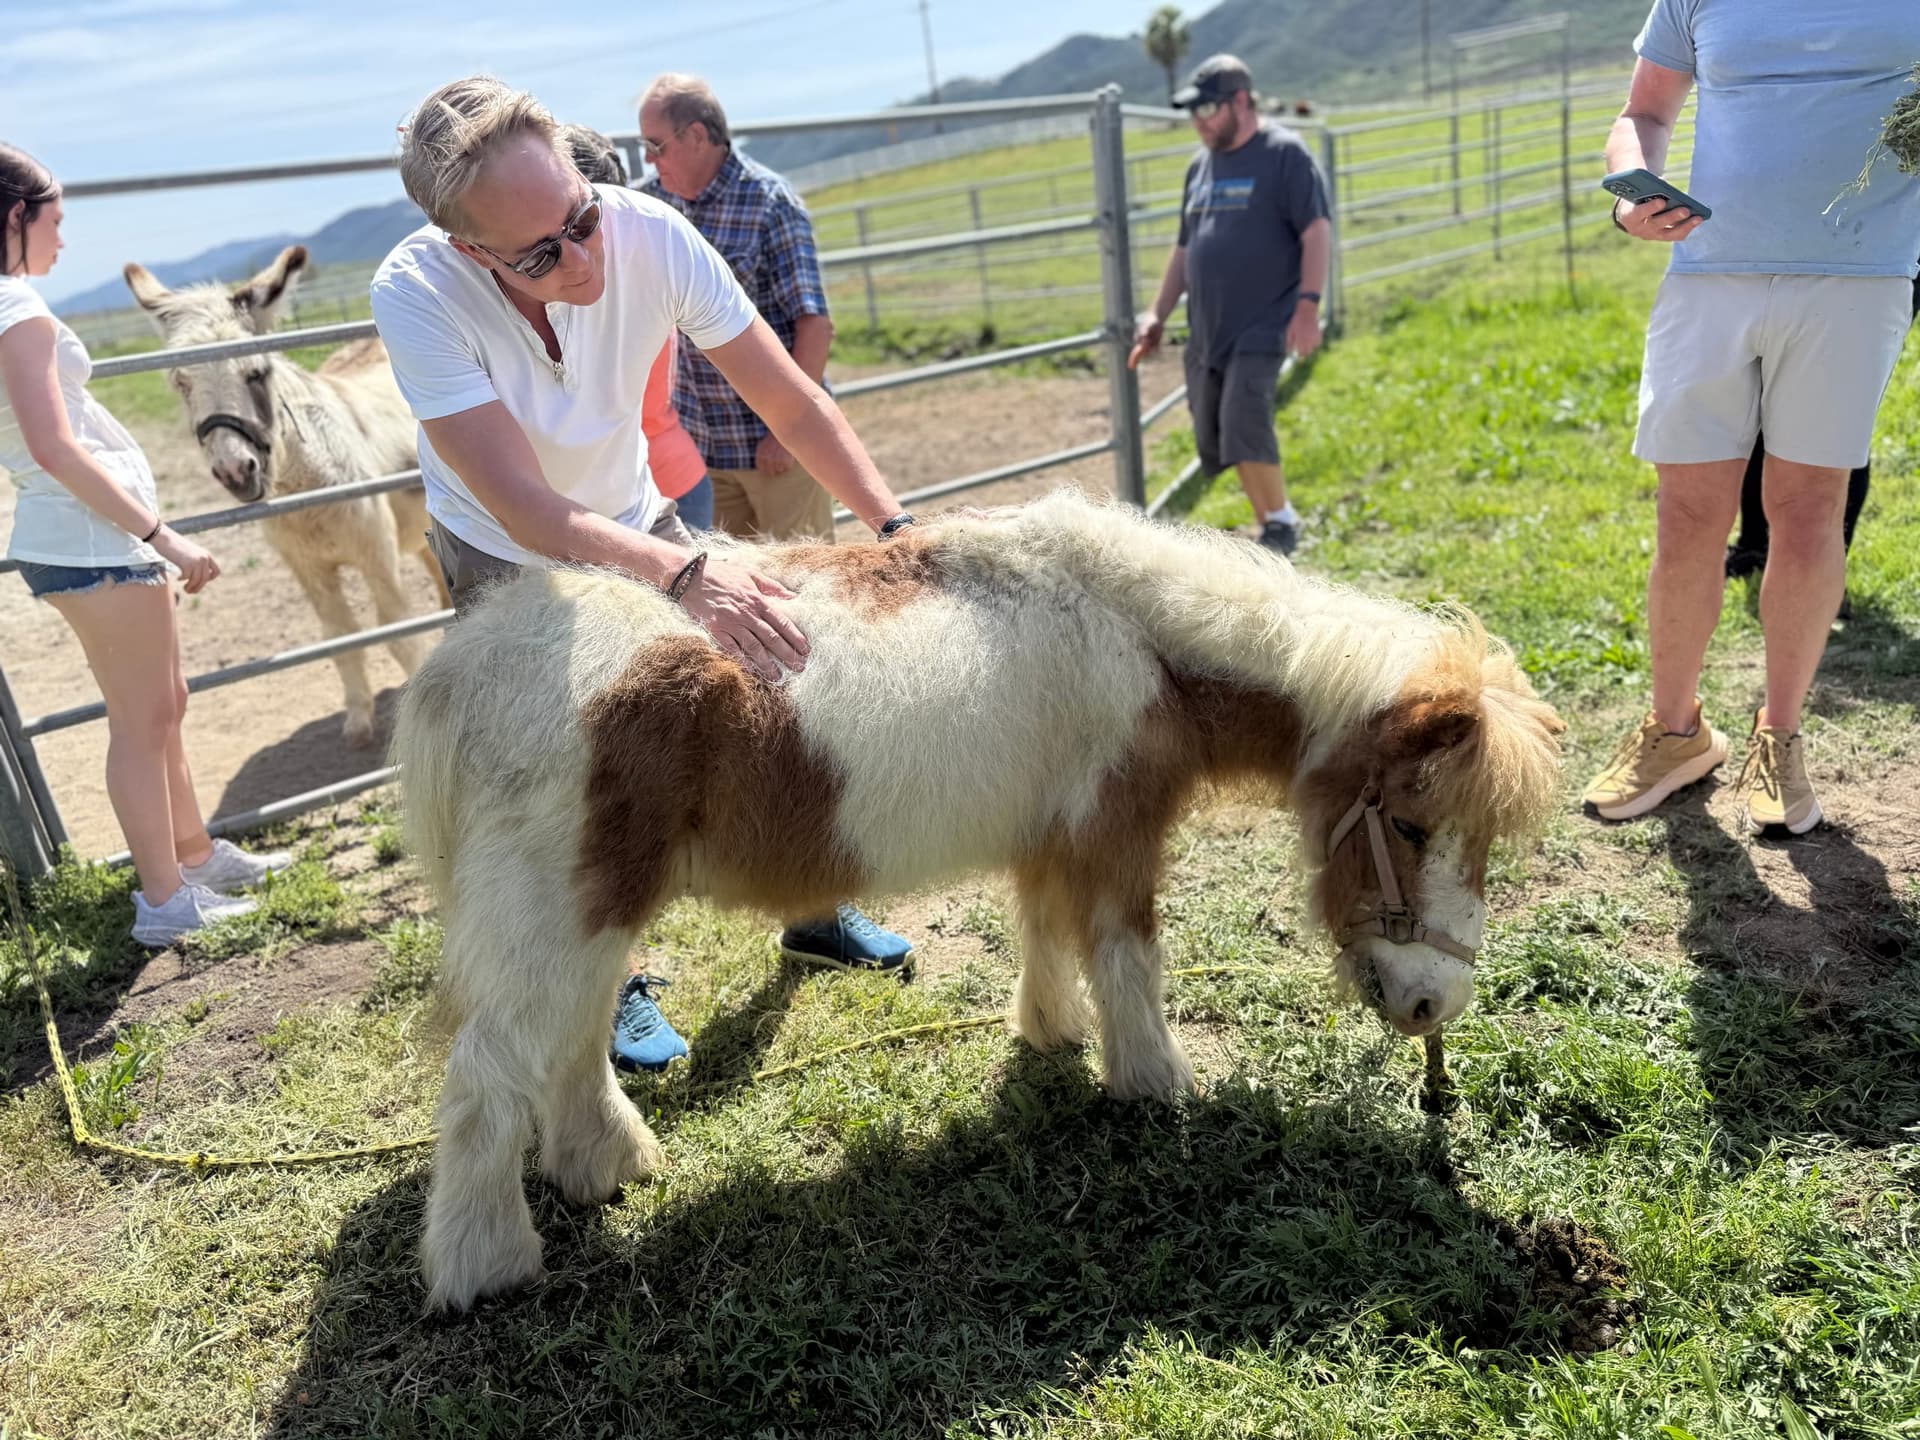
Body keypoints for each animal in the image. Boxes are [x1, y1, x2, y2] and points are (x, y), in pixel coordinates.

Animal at [125, 246, 450, 746]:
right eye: (181, 383)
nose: (235, 470)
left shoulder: (375, 551)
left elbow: (399, 632)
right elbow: (341, 637)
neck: (304, 495)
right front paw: (358, 720)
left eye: (256, 373)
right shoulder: (306, 566)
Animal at [389, 489, 1565, 1312]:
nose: (1434, 1007)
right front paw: (1153, 1085)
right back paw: (486, 1267)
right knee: (489, 1074)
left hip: (594, 913)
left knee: (575, 1040)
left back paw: (606, 1167)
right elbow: (1128, 956)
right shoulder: (1116, 838)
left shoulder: (1051, 835)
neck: (1136, 634)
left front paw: (1050, 1036)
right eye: (1410, 826)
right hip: (556, 914)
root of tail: (461, 671)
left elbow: (1045, 933)